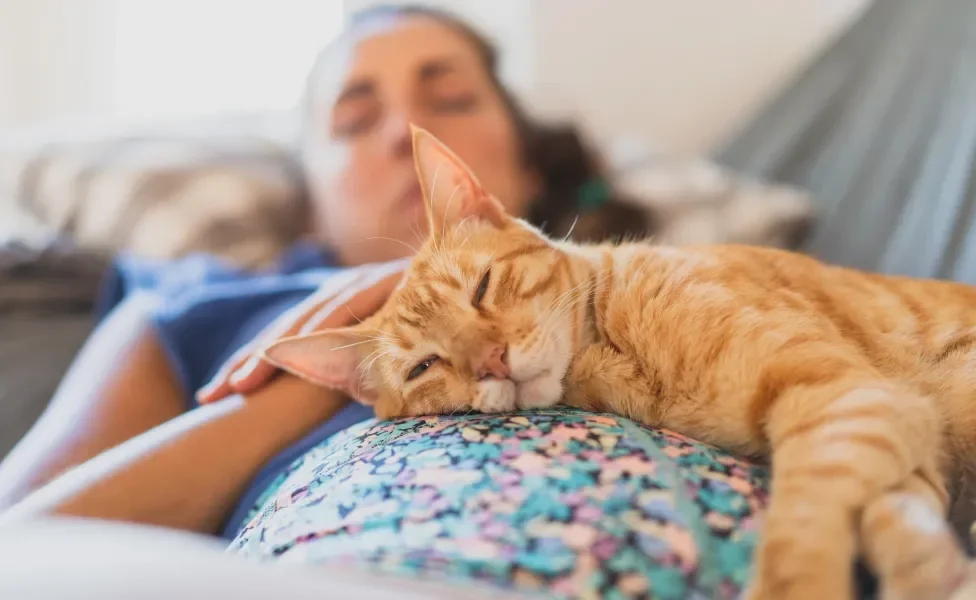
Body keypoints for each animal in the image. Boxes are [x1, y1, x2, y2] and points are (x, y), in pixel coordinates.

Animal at [264, 125, 976, 600]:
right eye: (424, 367)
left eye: (482, 287)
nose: (493, 361)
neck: (614, 355)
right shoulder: (882, 424)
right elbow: (896, 516)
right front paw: (937, 571)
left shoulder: (844, 394)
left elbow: (801, 529)